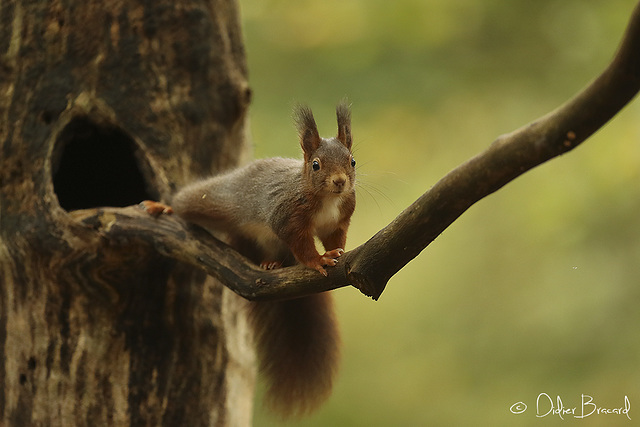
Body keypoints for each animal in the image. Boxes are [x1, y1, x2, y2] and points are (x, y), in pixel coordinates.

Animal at [143, 103, 358, 418]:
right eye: (316, 165)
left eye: (352, 161)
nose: (340, 182)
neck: (325, 197)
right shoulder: (287, 219)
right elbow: (302, 245)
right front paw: (317, 261)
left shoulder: (339, 221)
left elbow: (335, 239)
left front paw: (338, 253)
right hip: (213, 200)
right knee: (186, 203)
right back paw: (164, 206)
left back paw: (272, 264)